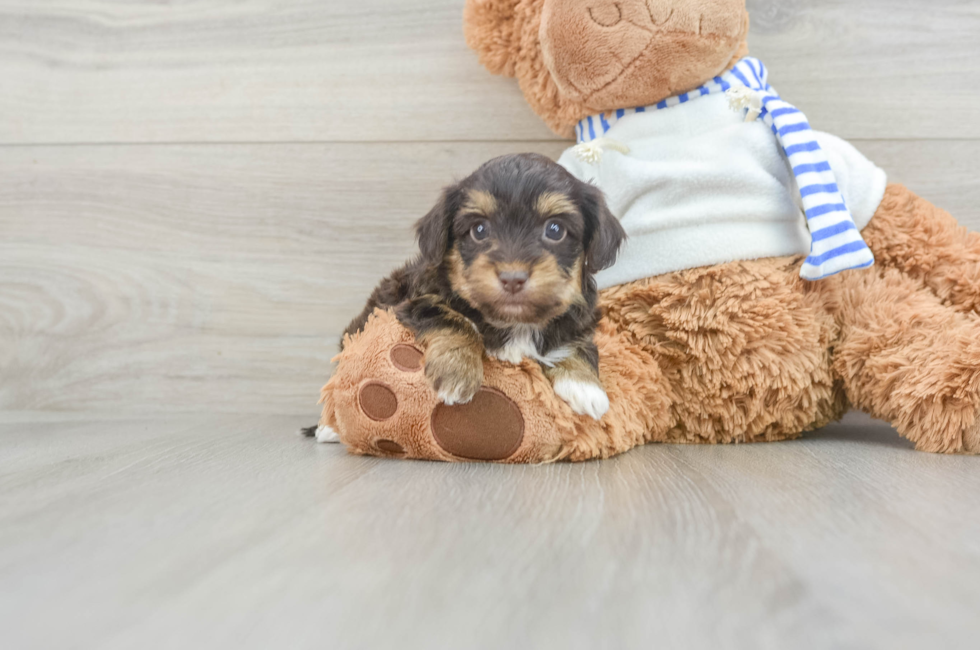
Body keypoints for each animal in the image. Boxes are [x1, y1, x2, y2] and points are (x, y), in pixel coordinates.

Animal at [344, 154, 624, 420]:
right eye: (479, 229)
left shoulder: (579, 317)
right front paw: (457, 370)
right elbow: (455, 319)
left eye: (555, 230)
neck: (515, 322)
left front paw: (585, 386)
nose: (513, 278)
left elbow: (577, 341)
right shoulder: (417, 300)